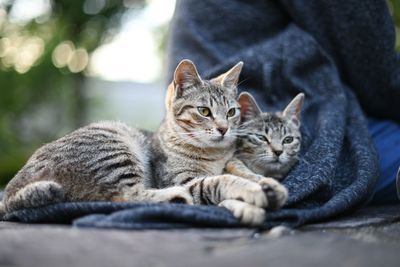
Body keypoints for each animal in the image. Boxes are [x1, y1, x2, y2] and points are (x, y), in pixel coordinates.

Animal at [0, 60, 288, 226]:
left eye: (231, 112)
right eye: (204, 111)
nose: (224, 129)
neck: (213, 155)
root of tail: (13, 187)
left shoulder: (232, 162)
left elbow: (243, 173)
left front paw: (268, 187)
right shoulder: (183, 178)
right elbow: (216, 182)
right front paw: (251, 195)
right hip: (115, 149)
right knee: (123, 198)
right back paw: (175, 198)